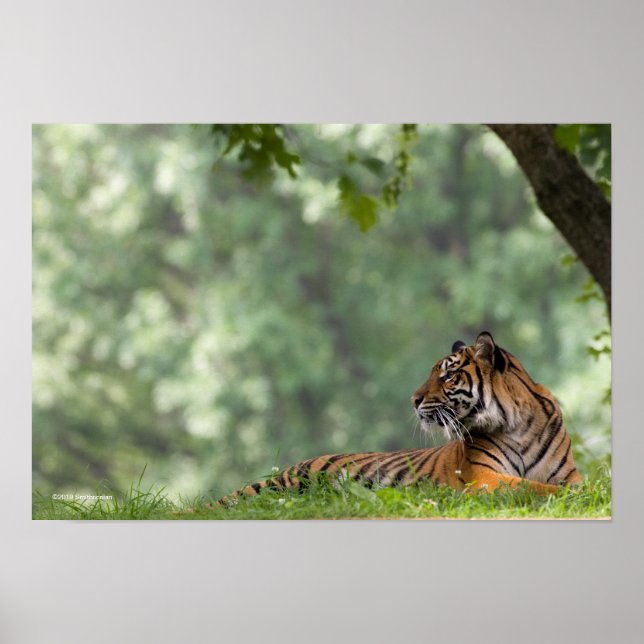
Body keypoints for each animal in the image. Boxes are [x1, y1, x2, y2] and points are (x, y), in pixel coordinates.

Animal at [210, 331, 582, 508]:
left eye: (447, 376)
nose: (413, 400)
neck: (518, 424)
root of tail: (290, 466)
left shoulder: (567, 474)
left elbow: (561, 485)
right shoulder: (484, 477)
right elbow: (534, 487)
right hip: (286, 485)